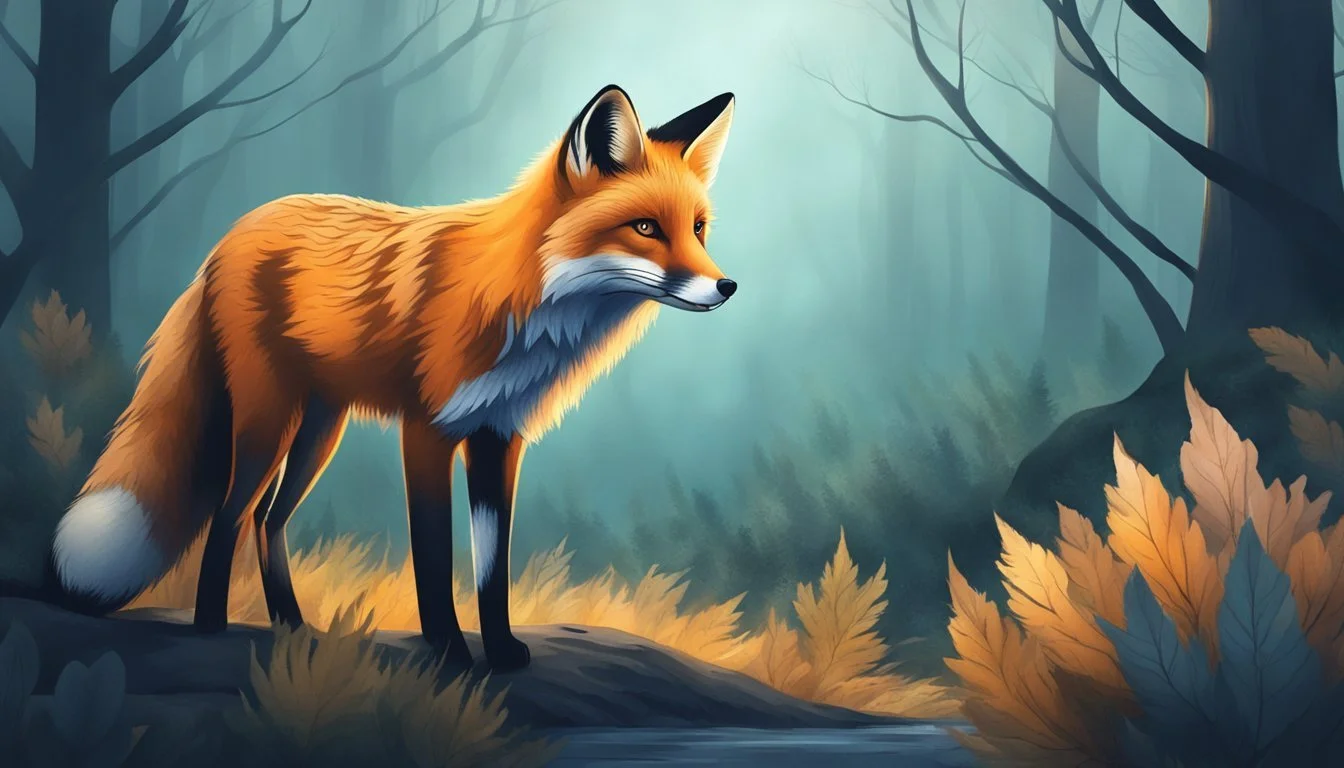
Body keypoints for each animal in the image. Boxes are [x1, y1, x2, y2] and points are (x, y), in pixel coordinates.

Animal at [43, 85, 737, 671]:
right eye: (646, 228)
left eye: (698, 229)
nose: (726, 287)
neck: (521, 303)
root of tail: (233, 233)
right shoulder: (428, 431)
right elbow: (432, 558)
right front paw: (451, 652)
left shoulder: (498, 438)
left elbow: (492, 569)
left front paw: (502, 651)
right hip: (270, 423)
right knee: (230, 514)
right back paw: (212, 625)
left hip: (320, 432)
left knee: (268, 520)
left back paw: (291, 625)